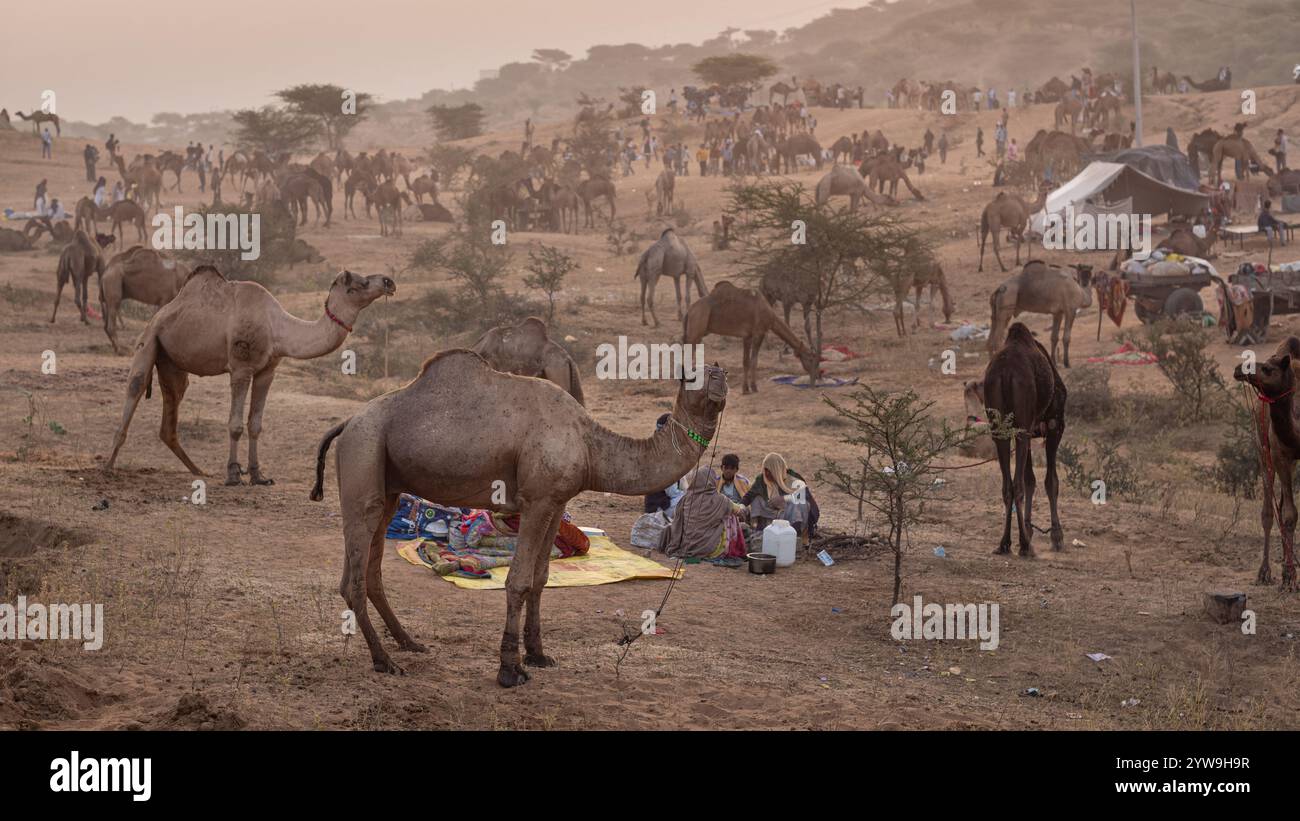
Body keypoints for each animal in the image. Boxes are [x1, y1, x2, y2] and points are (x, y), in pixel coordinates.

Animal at [106, 268, 395, 484]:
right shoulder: (241, 368)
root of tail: (163, 312)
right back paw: (108, 466)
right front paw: (234, 474)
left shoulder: (268, 370)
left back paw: (199, 470)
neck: (277, 328)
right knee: (135, 385)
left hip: (171, 362)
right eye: (359, 284)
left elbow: (255, 424)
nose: (388, 281)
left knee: (171, 410)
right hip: (149, 340)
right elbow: (235, 424)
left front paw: (258, 475)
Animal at [308, 352, 727, 683]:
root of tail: (347, 422)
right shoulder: (537, 500)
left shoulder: (557, 501)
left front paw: (538, 654)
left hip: (387, 484)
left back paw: (408, 643)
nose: (719, 377)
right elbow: (519, 581)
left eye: (718, 368)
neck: (589, 444)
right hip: (364, 453)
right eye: (691, 374)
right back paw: (385, 661)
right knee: (355, 577)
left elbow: (541, 579)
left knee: (367, 571)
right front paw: (510, 669)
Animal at [683, 281, 820, 394]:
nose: (815, 378)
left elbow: (749, 361)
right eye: (812, 359)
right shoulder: (758, 333)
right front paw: (750, 388)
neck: (770, 316)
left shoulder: (748, 336)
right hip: (695, 332)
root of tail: (689, 311)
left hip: (698, 334)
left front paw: (748, 388)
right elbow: (751, 361)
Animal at [977, 322, 1066, 556]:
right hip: (1023, 429)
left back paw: (1005, 543)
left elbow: (1030, 480)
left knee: (1008, 486)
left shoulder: (1029, 431)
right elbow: (1050, 482)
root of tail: (1006, 373)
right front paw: (1056, 536)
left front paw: (1028, 529)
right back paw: (1026, 546)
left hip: (1001, 430)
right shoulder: (1055, 426)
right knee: (1016, 485)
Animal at [1232, 337, 1300, 590]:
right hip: (1263, 449)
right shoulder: (1280, 454)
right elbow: (1290, 515)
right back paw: (1266, 572)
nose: (1239, 369)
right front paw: (1289, 577)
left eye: (1268, 369)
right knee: (1270, 510)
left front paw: (1289, 573)